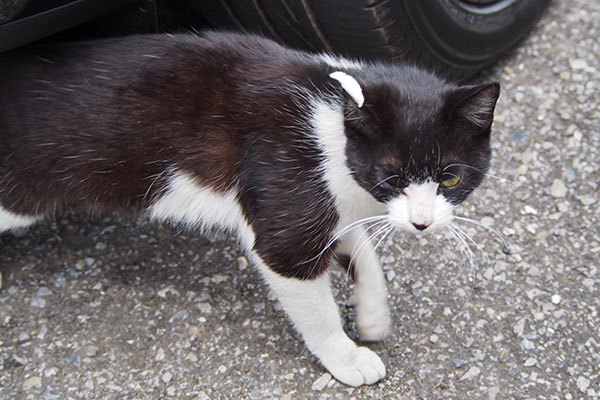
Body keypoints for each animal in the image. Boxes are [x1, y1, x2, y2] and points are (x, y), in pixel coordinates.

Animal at [0, 32, 500, 388]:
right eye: (392, 178)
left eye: (450, 179)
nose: (421, 222)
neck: (333, 129)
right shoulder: (288, 205)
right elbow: (311, 297)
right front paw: (346, 356)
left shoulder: (331, 203)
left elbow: (361, 249)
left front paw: (373, 313)